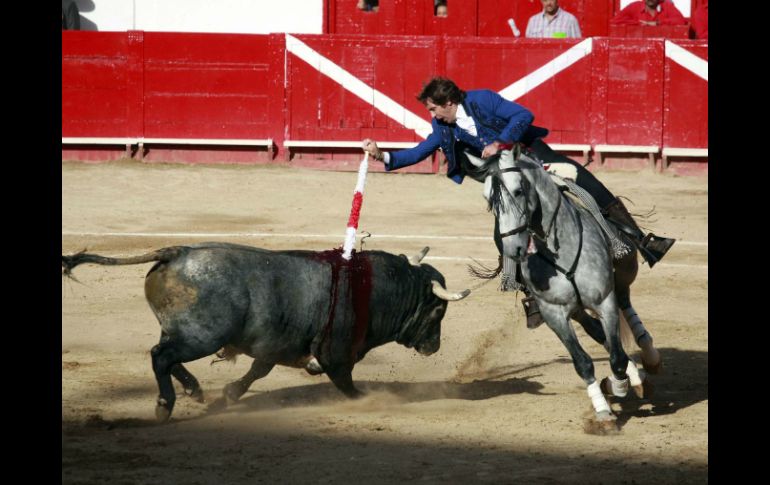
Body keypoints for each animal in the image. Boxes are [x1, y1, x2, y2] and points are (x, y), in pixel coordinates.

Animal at [61, 242, 468, 420]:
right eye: (439, 310)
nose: (434, 346)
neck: (373, 287)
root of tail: (177, 252)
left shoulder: (275, 345)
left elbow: (257, 371)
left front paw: (228, 395)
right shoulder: (336, 354)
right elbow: (345, 382)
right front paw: (367, 400)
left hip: (184, 333)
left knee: (165, 356)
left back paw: (194, 391)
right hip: (202, 336)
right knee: (161, 357)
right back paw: (166, 405)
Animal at [464, 149, 664, 430]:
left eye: (518, 191)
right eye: (487, 199)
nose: (513, 249)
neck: (559, 252)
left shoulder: (604, 301)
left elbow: (616, 358)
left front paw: (619, 386)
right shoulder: (554, 315)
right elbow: (583, 362)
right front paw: (604, 410)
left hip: (624, 274)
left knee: (626, 307)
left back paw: (648, 359)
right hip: (577, 310)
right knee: (598, 333)